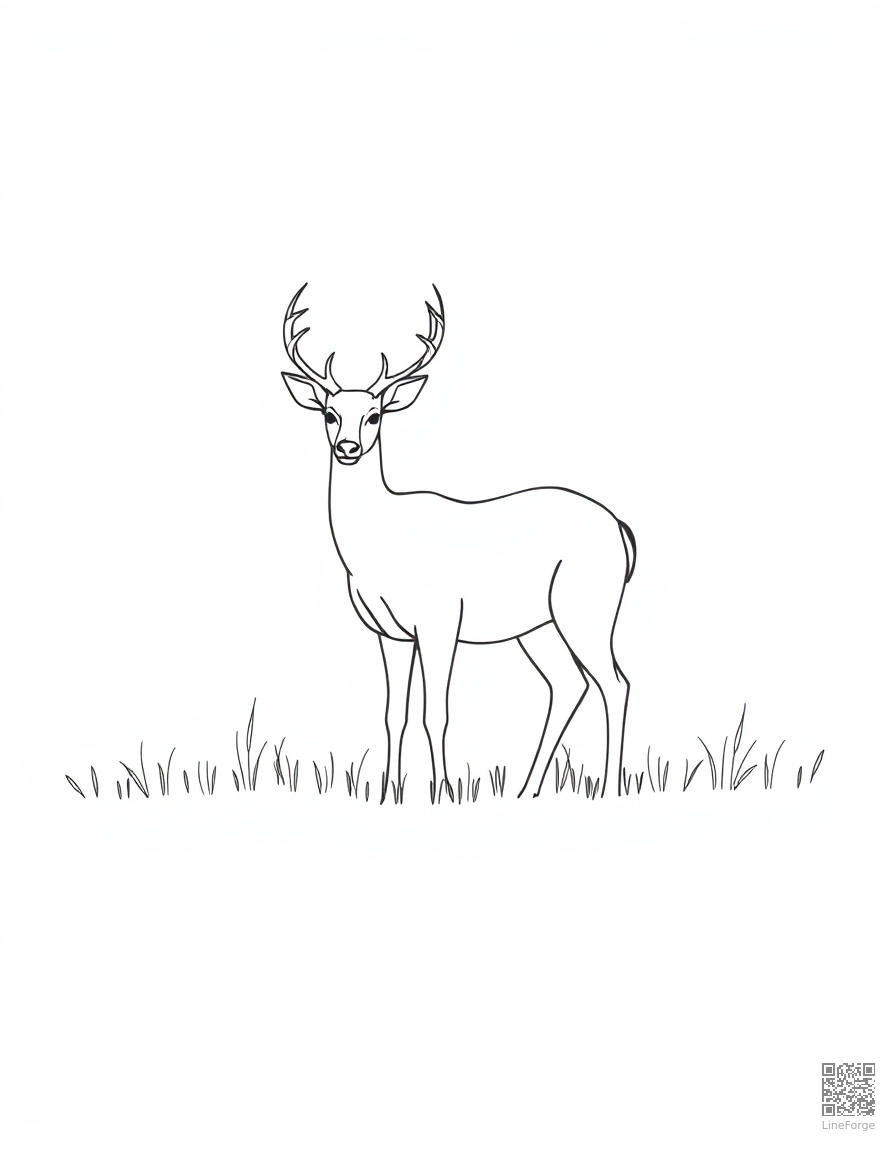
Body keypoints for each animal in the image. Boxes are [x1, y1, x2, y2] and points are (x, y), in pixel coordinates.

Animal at [280, 284, 636, 803]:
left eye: (374, 416)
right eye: (329, 414)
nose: (347, 448)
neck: (375, 547)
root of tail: (622, 531)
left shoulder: (440, 619)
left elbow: (437, 713)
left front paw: (443, 792)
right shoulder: (389, 632)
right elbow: (394, 715)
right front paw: (389, 792)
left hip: (587, 607)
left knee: (615, 682)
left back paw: (609, 786)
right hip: (537, 625)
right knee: (569, 684)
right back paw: (526, 789)